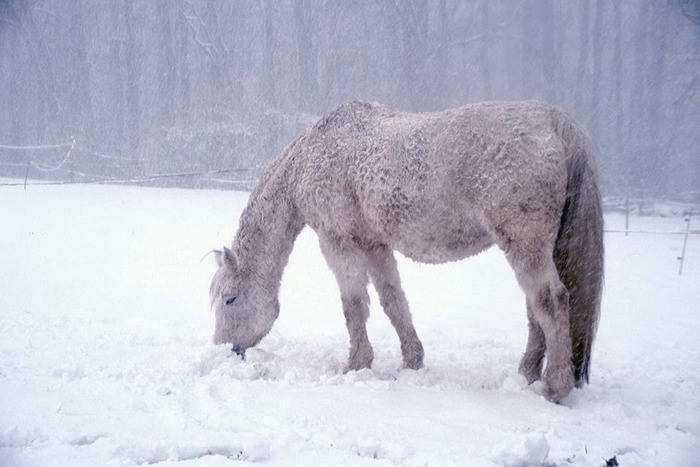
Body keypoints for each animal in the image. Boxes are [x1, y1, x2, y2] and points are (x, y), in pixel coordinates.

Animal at [208, 100, 600, 404]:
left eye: (229, 299)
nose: (223, 350)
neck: (314, 156)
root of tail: (553, 121)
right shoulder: (374, 244)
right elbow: (393, 301)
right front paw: (412, 360)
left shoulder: (338, 242)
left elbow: (354, 306)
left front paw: (356, 364)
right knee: (536, 310)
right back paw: (526, 374)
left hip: (525, 246)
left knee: (551, 301)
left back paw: (554, 386)